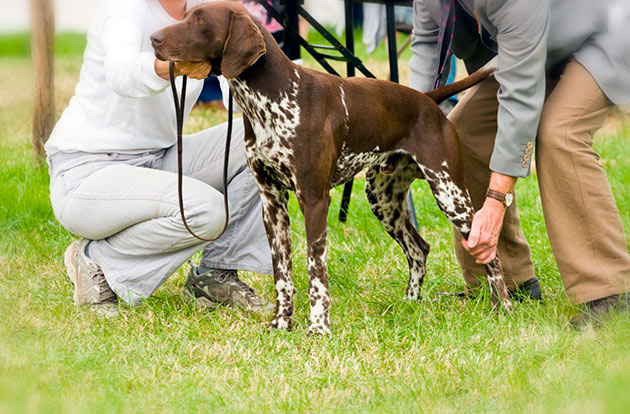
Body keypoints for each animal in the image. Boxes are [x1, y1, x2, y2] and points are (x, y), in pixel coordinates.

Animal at [153, 1, 512, 334]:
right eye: (187, 15)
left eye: (200, 20)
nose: (154, 38)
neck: (272, 98)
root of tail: (427, 100)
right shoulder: (272, 202)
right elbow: (282, 273)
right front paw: (282, 322)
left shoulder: (313, 199)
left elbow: (315, 270)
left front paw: (318, 327)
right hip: (384, 201)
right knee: (418, 248)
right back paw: (411, 302)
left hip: (451, 195)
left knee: (488, 250)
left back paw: (502, 307)